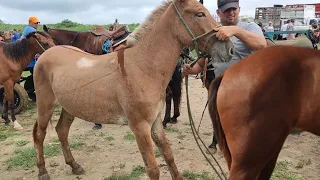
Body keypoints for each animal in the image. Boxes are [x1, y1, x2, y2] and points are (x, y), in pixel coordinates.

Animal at [32, 0, 234, 179]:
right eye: (200, 14)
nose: (229, 49)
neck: (142, 67)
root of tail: (47, 54)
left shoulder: (155, 121)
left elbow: (168, 155)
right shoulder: (140, 127)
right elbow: (153, 169)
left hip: (69, 107)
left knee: (62, 131)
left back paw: (74, 166)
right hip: (45, 106)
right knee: (40, 134)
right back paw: (42, 172)